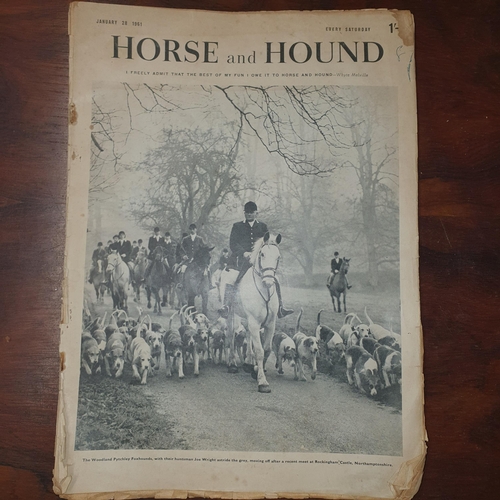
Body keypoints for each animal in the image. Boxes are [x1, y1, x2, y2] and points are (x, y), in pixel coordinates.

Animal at [227, 232, 282, 392]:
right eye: (262, 254)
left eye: (278, 257)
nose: (269, 281)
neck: (264, 290)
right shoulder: (254, 322)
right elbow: (260, 351)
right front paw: (262, 382)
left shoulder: (270, 324)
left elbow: (267, 349)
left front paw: (257, 369)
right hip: (233, 314)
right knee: (231, 334)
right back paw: (232, 364)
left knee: (247, 335)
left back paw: (249, 362)